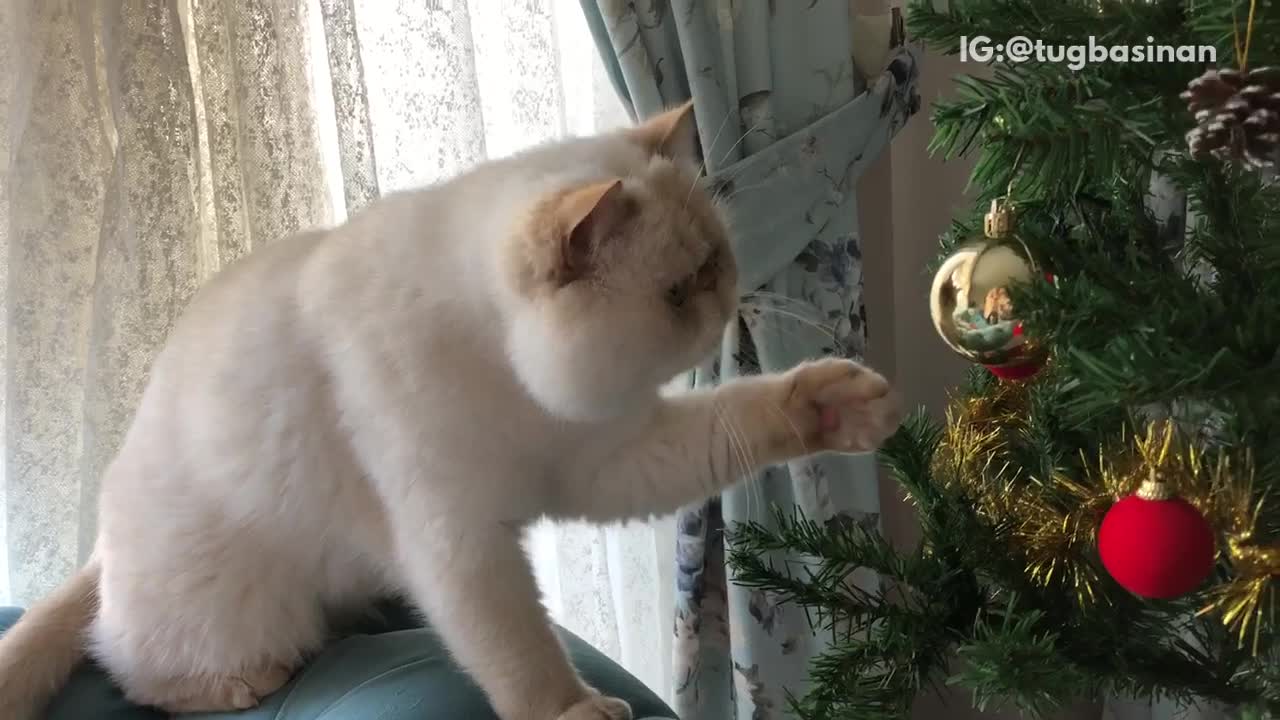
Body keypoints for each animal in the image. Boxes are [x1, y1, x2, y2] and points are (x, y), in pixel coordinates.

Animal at [0, 101, 901, 717]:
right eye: (680, 291)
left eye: (720, 260)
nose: (721, 309)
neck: (506, 370)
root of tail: (99, 547)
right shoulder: (459, 540)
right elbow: (519, 649)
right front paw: (578, 711)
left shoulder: (604, 458)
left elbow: (738, 420)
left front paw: (841, 406)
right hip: (250, 610)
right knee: (131, 668)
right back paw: (244, 682)